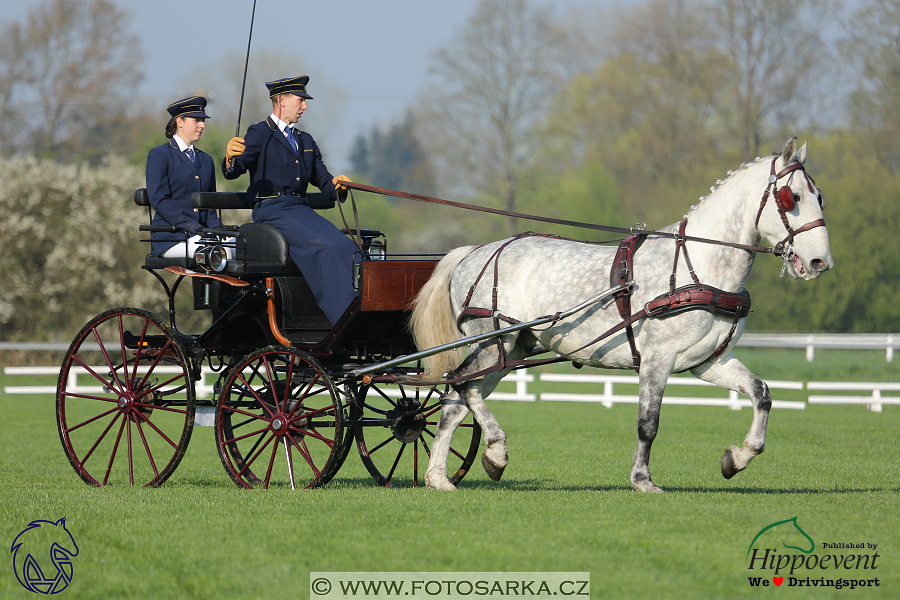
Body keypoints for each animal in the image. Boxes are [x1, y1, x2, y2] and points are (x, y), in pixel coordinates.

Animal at [412, 137, 832, 492]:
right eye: (791, 197)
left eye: (820, 197)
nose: (819, 262)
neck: (700, 265)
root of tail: (474, 252)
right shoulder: (658, 358)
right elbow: (648, 424)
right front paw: (643, 480)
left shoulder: (708, 361)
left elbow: (761, 394)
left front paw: (737, 458)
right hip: (491, 340)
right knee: (463, 387)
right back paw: (496, 452)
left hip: (509, 349)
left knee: (454, 403)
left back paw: (439, 477)